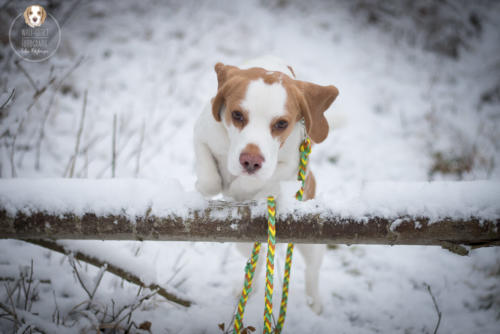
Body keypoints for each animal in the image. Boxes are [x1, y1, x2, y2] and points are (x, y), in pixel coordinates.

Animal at [193, 56, 338, 314]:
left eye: (281, 123)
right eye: (237, 115)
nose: (251, 161)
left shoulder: (289, 169)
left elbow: (261, 181)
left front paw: (241, 188)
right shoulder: (202, 134)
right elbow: (209, 176)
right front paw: (208, 184)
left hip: (311, 240)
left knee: (312, 268)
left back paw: (314, 302)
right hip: (242, 243)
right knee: (257, 262)